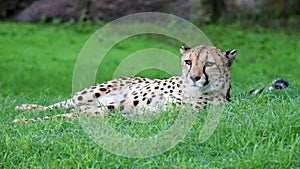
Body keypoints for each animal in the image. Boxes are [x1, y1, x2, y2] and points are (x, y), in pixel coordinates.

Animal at [13, 45, 288, 123]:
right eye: (188, 62)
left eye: (209, 64)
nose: (194, 77)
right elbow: (65, 113)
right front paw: (24, 119)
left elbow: (73, 116)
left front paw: (25, 122)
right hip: (92, 93)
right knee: (62, 103)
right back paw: (24, 108)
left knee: (68, 108)